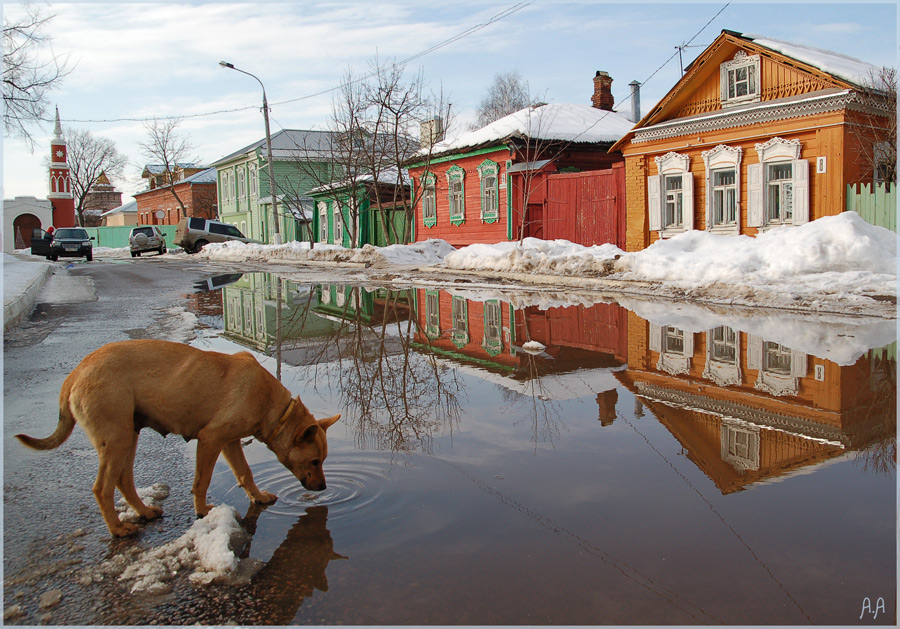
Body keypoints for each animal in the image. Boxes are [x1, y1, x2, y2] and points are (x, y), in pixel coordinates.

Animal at [17, 338, 342, 536]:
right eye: (315, 461)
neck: (272, 405)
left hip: (128, 435)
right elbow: (202, 481)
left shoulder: (230, 442)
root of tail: (77, 372)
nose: (324, 488)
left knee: (124, 481)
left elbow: (245, 472)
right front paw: (201, 512)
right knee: (102, 489)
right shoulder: (211, 439)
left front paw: (257, 497)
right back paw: (118, 529)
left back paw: (143, 511)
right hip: (117, 439)